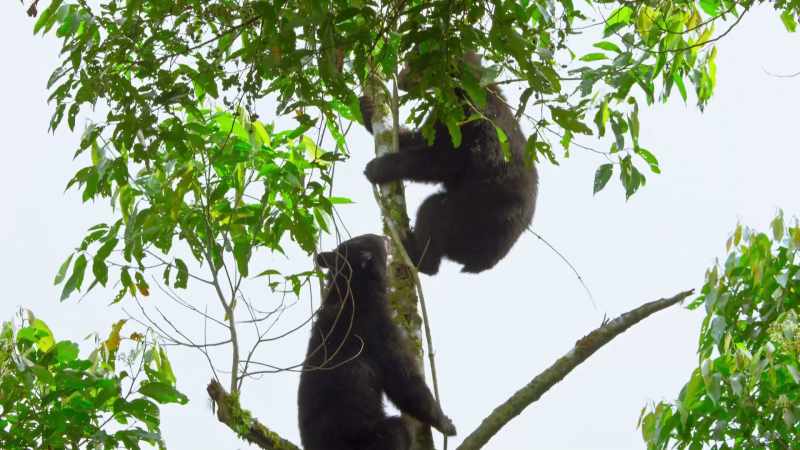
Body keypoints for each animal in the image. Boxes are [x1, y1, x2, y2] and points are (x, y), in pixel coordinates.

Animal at [298, 234, 456, 450]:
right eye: (373, 238)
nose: (387, 236)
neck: (353, 289)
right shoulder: (378, 328)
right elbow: (403, 380)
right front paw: (446, 423)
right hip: (368, 437)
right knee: (397, 430)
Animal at [360, 51, 538, 275]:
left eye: (411, 63)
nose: (400, 79)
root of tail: (484, 262)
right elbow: (423, 139)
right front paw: (367, 109)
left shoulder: (467, 115)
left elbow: (444, 161)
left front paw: (378, 168)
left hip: (475, 215)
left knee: (434, 209)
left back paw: (414, 253)